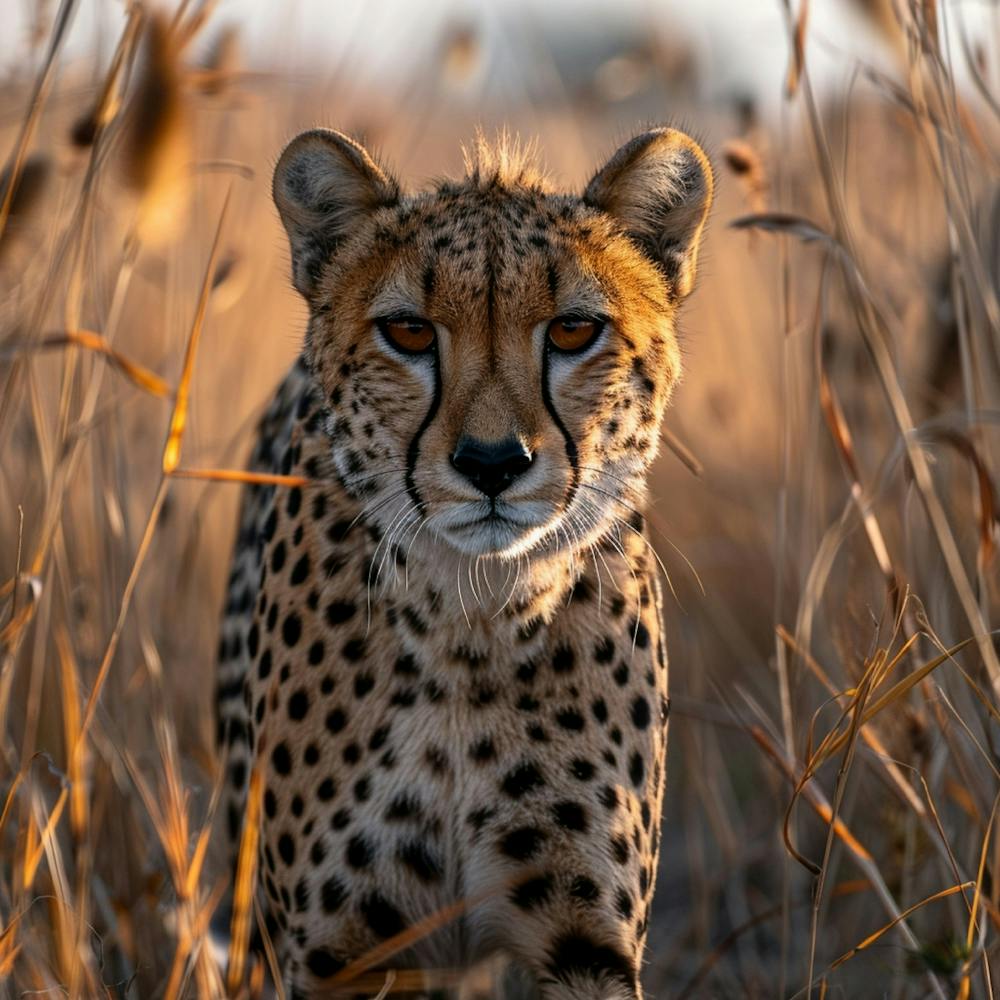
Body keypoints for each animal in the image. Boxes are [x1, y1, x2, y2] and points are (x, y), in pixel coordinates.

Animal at [215, 125, 713, 999]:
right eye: (409, 332)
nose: (492, 462)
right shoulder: (338, 956)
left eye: (574, 330)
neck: (472, 619)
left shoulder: (586, 949)